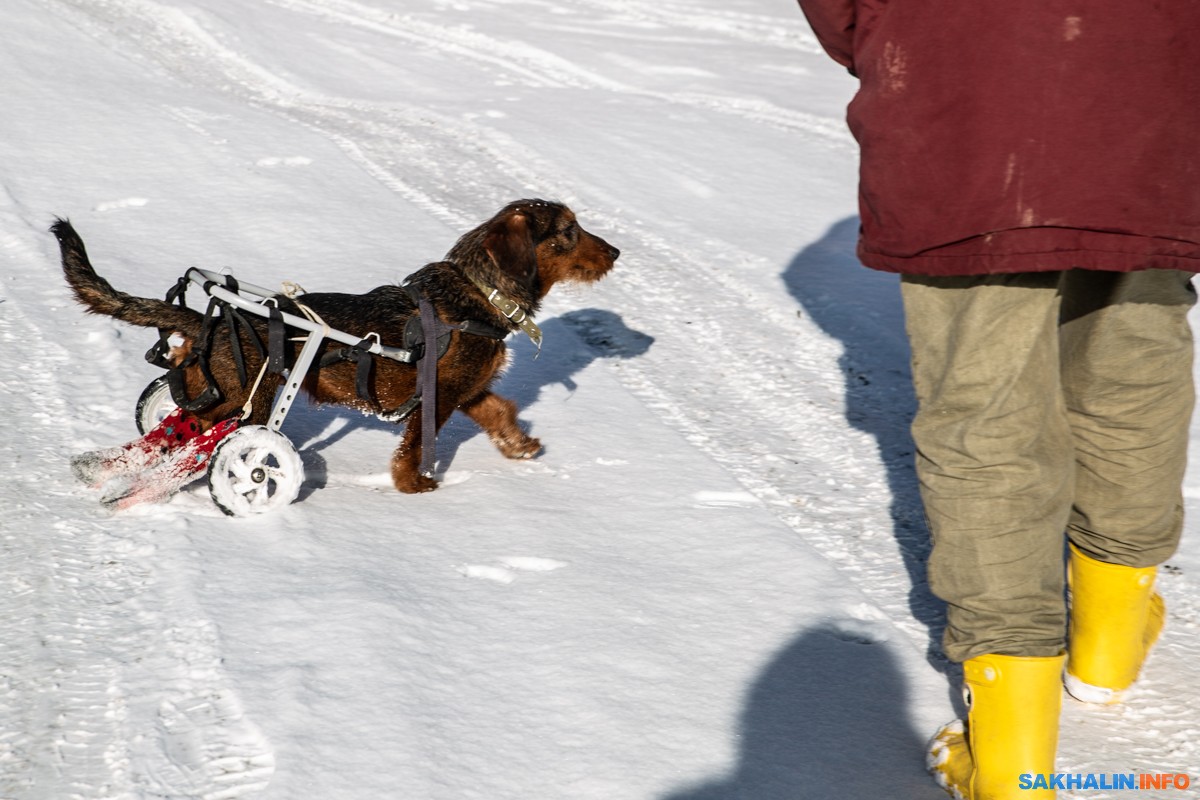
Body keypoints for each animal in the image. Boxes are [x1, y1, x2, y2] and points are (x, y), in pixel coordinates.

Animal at [54, 199, 619, 506]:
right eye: (568, 232)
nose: (615, 252)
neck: (482, 292)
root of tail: (206, 321)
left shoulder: (468, 389)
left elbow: (500, 410)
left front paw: (520, 445)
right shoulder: (442, 395)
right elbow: (416, 446)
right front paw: (414, 487)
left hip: (209, 395)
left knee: (164, 438)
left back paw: (99, 469)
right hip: (248, 403)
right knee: (190, 452)